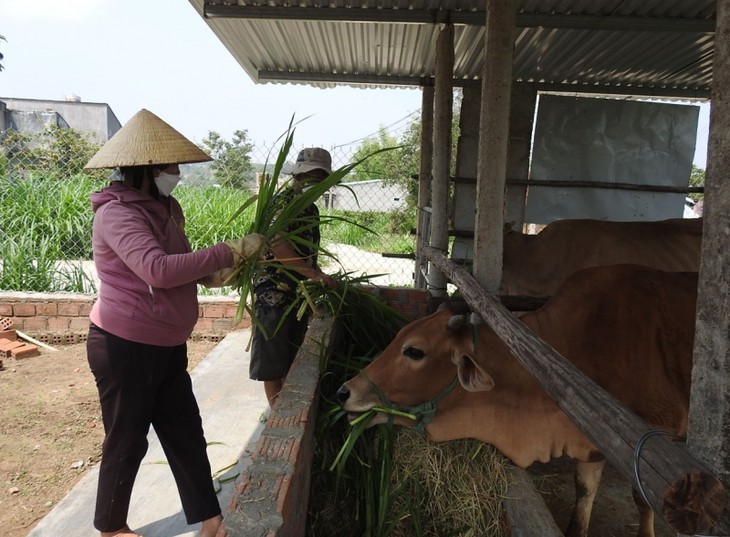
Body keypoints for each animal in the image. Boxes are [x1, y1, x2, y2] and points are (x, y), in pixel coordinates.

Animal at [336, 264, 692, 536]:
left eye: (414, 351)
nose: (344, 392)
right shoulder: (591, 442)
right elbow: (584, 495)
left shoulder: (652, 442)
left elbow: (644, 502)